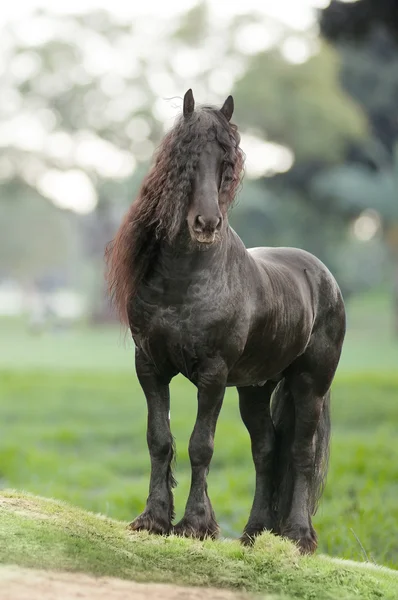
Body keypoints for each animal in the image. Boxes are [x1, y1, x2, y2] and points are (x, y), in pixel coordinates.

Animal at [105, 89, 346, 552]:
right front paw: (153, 518)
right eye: (185, 157)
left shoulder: (213, 375)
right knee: (266, 451)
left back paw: (298, 535)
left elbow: (201, 445)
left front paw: (195, 524)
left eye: (227, 162)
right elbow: (158, 439)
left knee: (301, 452)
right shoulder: (150, 367)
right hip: (255, 388)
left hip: (310, 384)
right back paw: (253, 532)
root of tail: (323, 276)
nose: (206, 222)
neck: (184, 280)